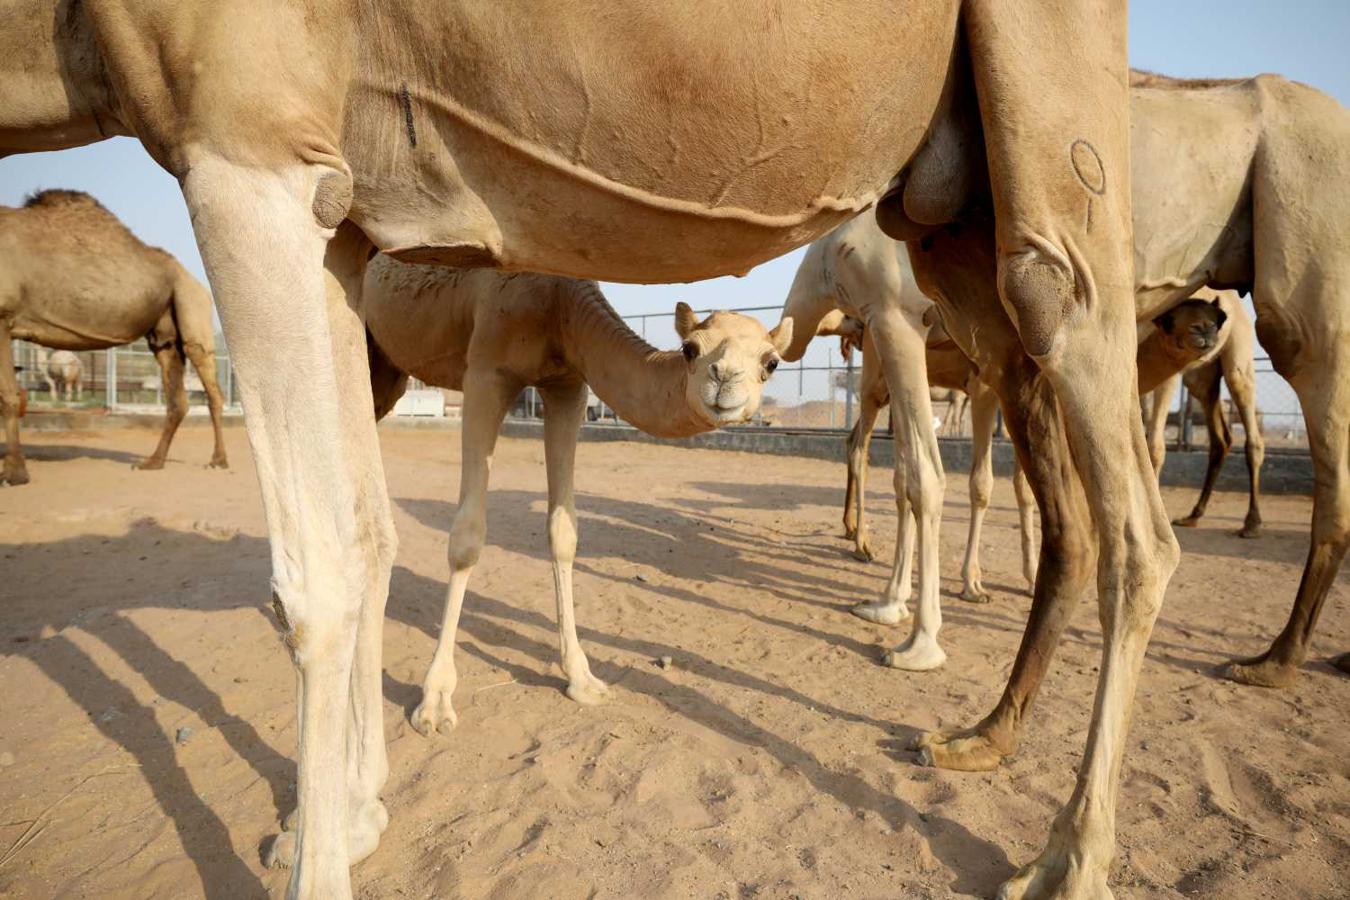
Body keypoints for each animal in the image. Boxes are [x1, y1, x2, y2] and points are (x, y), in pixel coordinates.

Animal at [356, 253, 788, 739]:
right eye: (691, 349)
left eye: (771, 362)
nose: (725, 380)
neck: (557, 304)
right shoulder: (486, 371)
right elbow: (467, 536)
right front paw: (434, 701)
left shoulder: (568, 385)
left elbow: (563, 531)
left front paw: (582, 678)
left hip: (387, 364)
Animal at [1139, 292, 1263, 539]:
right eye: (1168, 320)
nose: (1205, 329)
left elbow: (1154, 446)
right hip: (1202, 377)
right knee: (1220, 439)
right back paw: (1193, 515)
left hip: (1238, 353)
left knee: (1252, 437)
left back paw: (1251, 523)